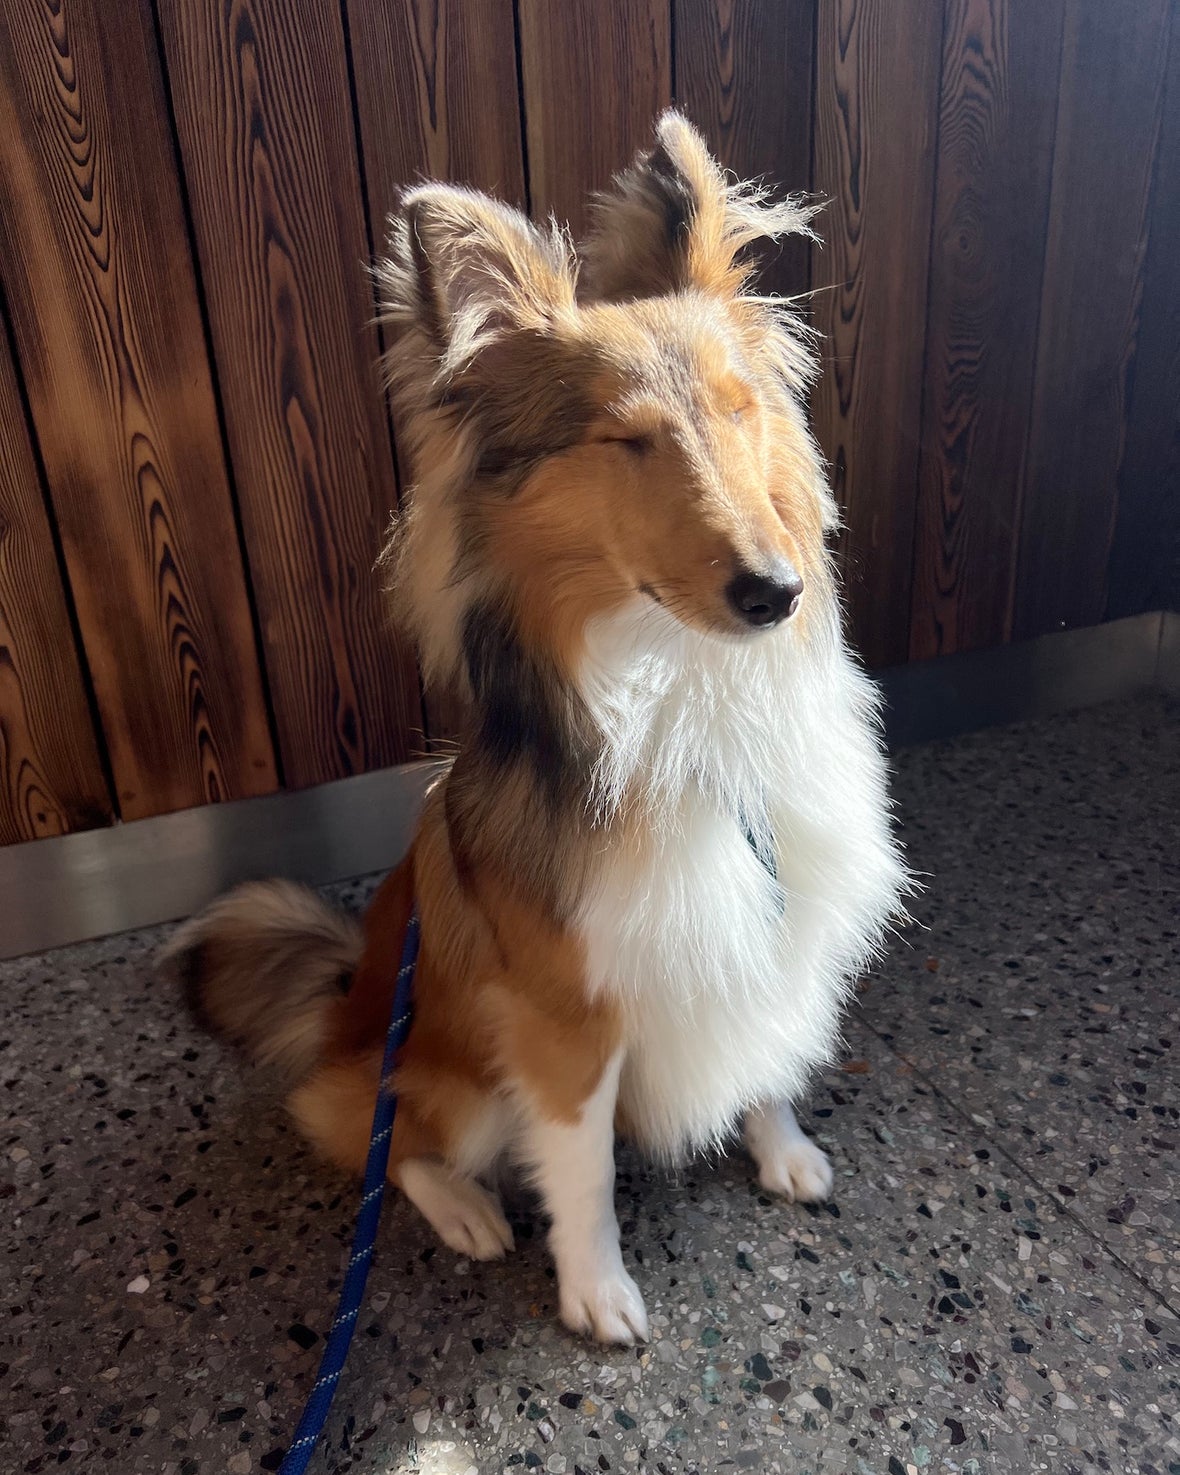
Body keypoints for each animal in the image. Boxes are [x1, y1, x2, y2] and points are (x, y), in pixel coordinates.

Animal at [165, 111, 907, 1346]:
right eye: (629, 440)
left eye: (740, 409)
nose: (775, 592)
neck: (682, 690)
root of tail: (343, 999)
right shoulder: (565, 1021)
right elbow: (583, 1171)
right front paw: (596, 1292)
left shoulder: (762, 923)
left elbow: (764, 1055)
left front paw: (783, 1146)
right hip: (447, 1077)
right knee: (375, 1139)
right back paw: (464, 1209)